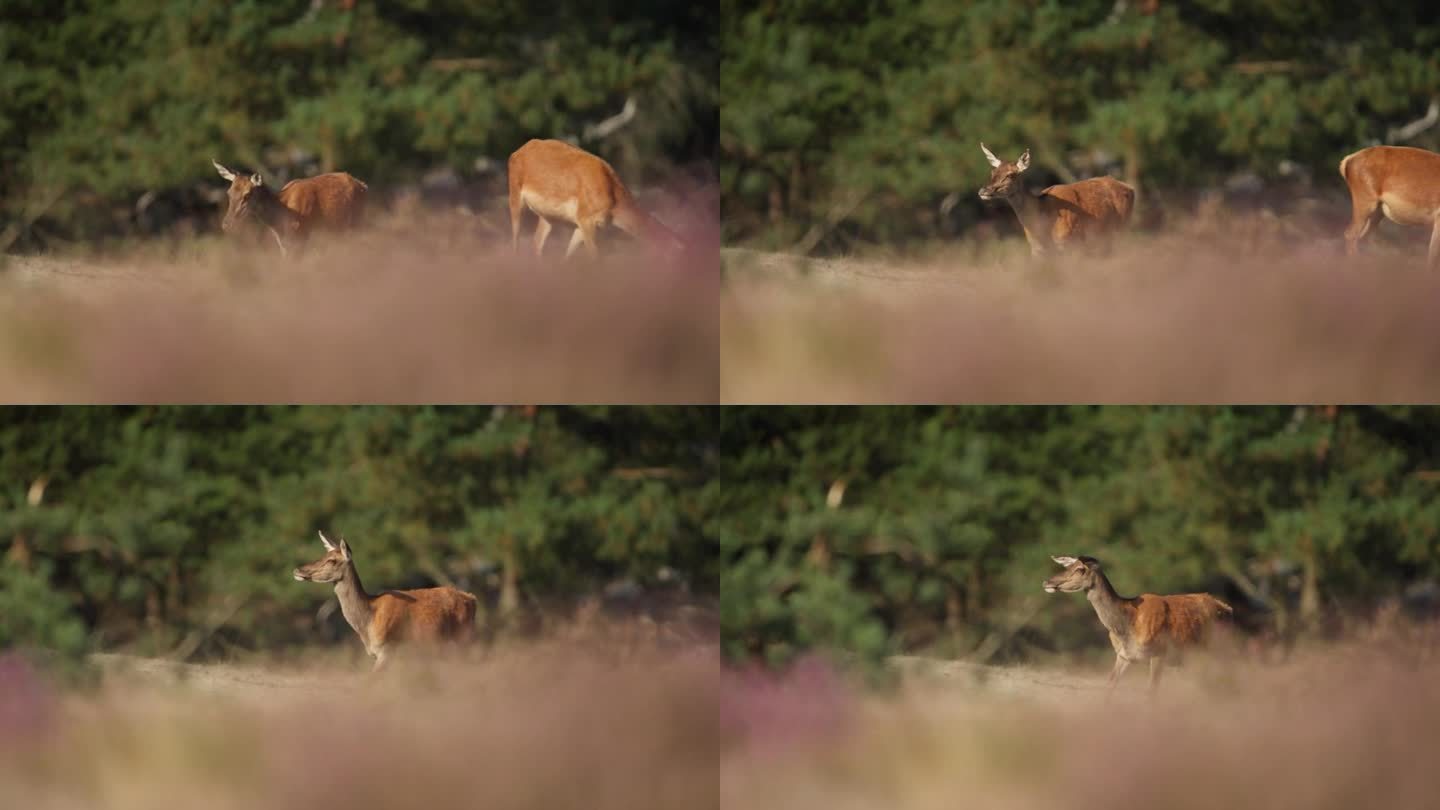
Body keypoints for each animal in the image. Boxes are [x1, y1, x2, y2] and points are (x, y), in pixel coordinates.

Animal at [216, 159, 371, 256]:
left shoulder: (302, 235)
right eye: (229, 193)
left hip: (358, 222)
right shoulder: (283, 244)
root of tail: (364, 186)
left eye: (247, 195)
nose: (226, 224)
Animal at [292, 530, 478, 668]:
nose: (298, 570)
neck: (367, 623)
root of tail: (472, 598)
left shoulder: (387, 649)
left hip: (463, 637)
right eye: (323, 555)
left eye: (331, 560)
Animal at [506, 137, 685, 257]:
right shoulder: (585, 219)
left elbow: (567, 258)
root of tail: (516, 152)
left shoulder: (581, 225)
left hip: (547, 216)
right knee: (515, 242)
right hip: (514, 197)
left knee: (536, 244)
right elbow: (595, 260)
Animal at [979, 141, 1134, 255]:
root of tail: (1131, 188)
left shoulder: (1068, 243)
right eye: (992, 172)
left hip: (1123, 228)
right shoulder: (1036, 249)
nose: (983, 191)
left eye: (1010, 175)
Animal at [1042, 553, 1232, 694]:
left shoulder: (1159, 653)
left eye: (1080, 569)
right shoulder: (1123, 656)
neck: (1126, 627)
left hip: (1218, 650)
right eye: (1066, 567)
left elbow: (1151, 693)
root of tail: (1228, 609)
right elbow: (1109, 687)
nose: (1047, 582)